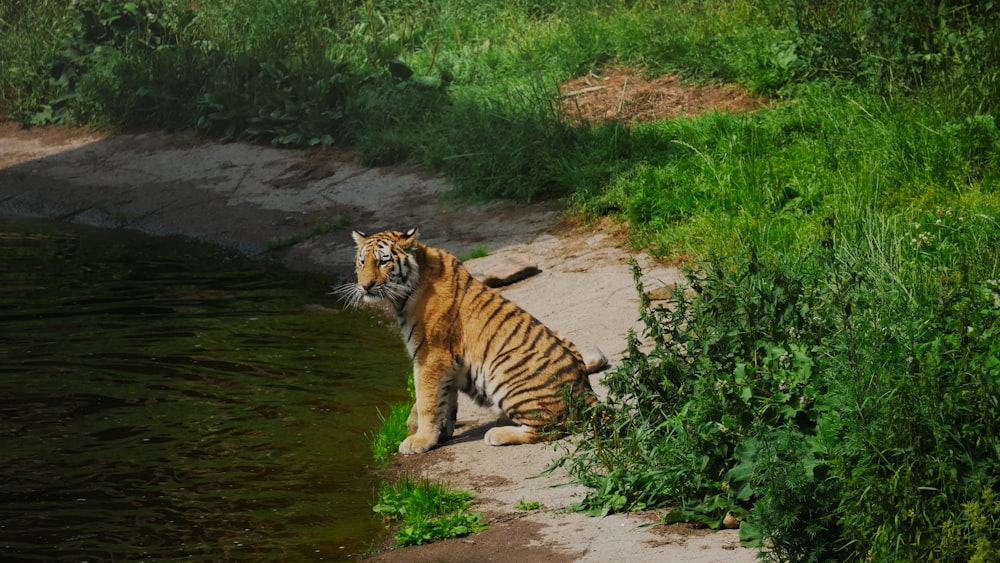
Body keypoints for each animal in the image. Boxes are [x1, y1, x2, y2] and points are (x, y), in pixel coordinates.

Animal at [336, 228, 600, 454]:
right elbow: (445, 401)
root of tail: (586, 391)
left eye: (383, 261)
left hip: (503, 367)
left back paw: (497, 433)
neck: (405, 294)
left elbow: (426, 401)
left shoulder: (430, 357)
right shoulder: (447, 365)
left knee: (550, 427)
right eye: (362, 262)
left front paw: (419, 440)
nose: (365, 286)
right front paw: (440, 434)